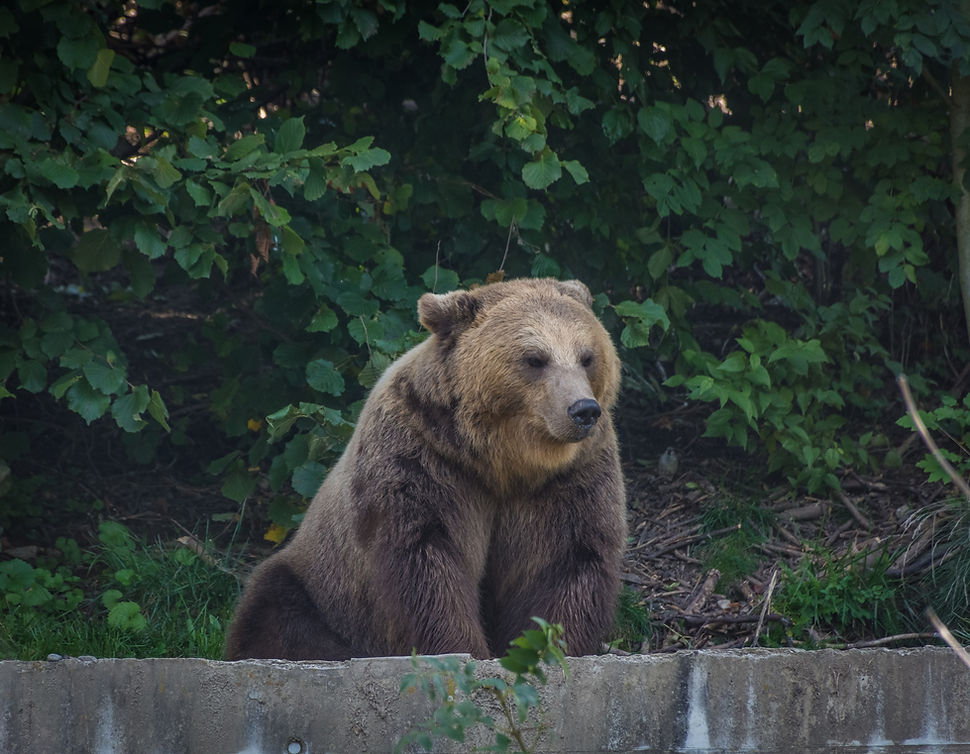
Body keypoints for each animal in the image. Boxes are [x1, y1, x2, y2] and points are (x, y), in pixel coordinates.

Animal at [224, 277, 627, 661]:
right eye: (534, 358)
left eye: (587, 356)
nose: (583, 410)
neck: (503, 461)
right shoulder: (424, 458)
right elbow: (425, 558)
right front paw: (464, 650)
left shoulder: (569, 478)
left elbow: (565, 560)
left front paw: (545, 646)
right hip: (320, 585)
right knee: (277, 610)